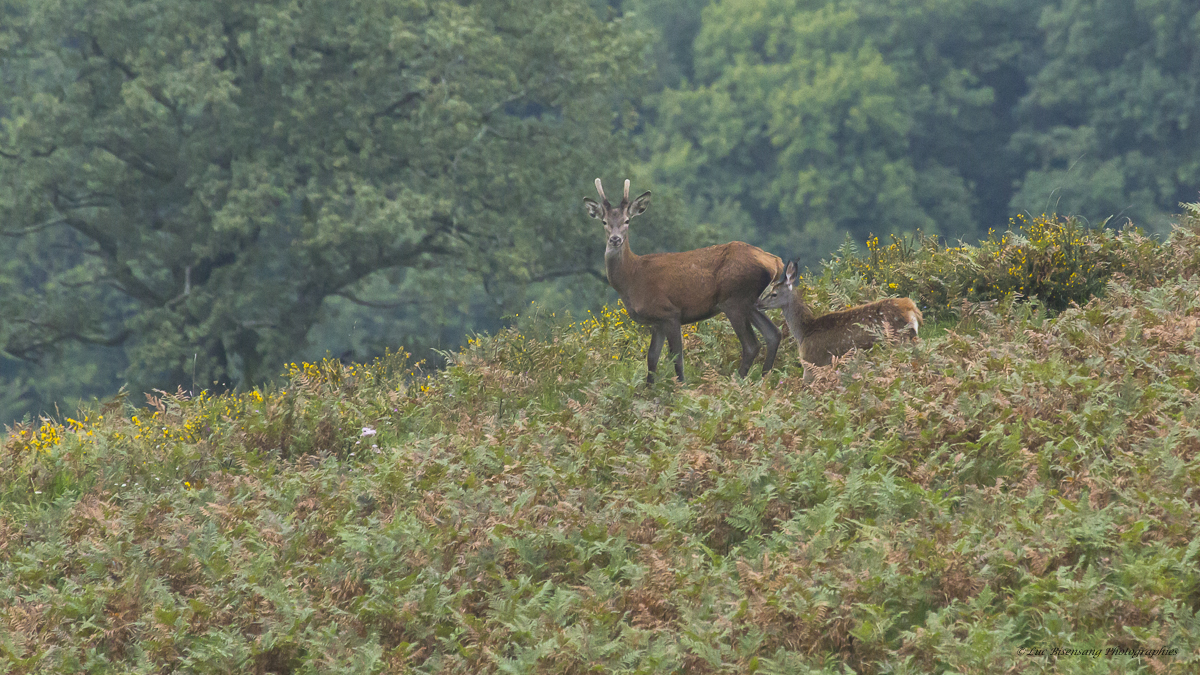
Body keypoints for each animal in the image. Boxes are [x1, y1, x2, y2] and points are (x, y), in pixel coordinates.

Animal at [583, 176, 787, 381]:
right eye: (604, 222)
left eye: (627, 220)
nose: (615, 239)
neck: (632, 279)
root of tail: (775, 262)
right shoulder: (656, 321)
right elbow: (652, 358)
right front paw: (650, 386)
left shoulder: (669, 312)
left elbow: (676, 357)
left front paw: (680, 385)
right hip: (750, 301)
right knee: (773, 334)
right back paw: (765, 379)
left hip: (734, 299)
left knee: (751, 345)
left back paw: (738, 381)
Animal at [758, 260, 916, 379]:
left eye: (774, 293)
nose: (758, 303)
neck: (804, 331)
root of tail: (912, 310)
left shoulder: (812, 362)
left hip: (898, 342)